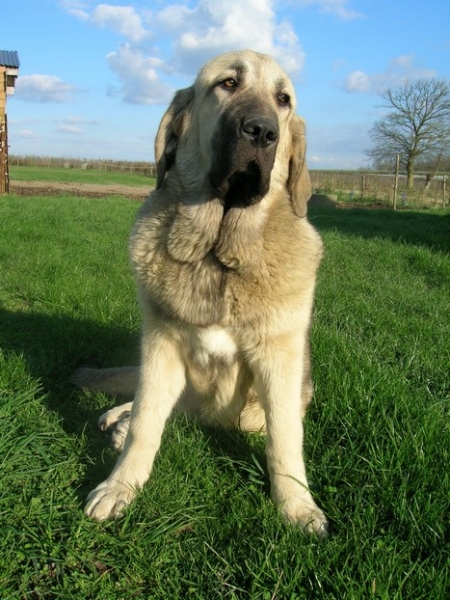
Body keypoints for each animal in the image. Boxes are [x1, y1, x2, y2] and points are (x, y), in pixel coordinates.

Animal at [73, 48, 326, 536]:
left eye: (283, 100)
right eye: (227, 84)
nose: (262, 130)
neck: (216, 254)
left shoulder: (277, 365)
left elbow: (285, 440)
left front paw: (297, 506)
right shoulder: (162, 346)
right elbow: (147, 422)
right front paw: (120, 486)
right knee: (146, 403)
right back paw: (118, 419)